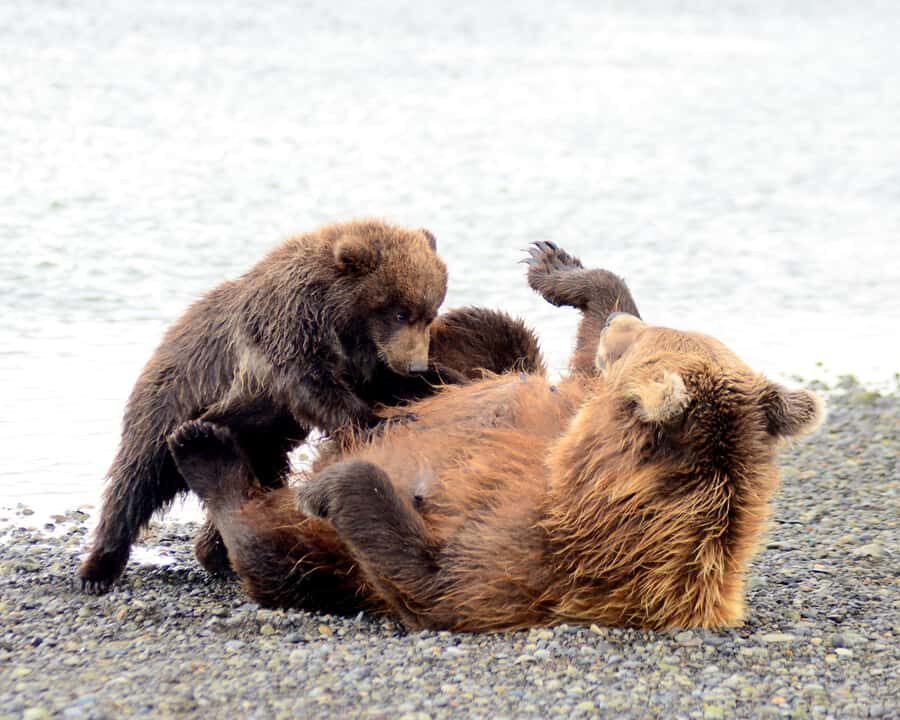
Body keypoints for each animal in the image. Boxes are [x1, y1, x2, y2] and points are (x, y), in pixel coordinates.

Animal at [78, 218, 544, 594]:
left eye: (429, 313)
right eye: (398, 311)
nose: (415, 362)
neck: (343, 317)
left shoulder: (366, 354)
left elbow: (385, 380)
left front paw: (448, 380)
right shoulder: (288, 326)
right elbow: (313, 384)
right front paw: (376, 420)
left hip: (259, 440)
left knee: (256, 476)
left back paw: (215, 551)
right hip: (170, 404)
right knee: (136, 480)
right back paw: (99, 567)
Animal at [169, 243, 820, 631]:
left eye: (643, 340)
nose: (624, 324)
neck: (579, 484)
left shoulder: (533, 557)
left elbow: (429, 576)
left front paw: (333, 485)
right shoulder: (564, 417)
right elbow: (576, 363)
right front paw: (557, 267)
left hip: (319, 558)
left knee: (274, 551)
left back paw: (203, 446)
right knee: (497, 336)